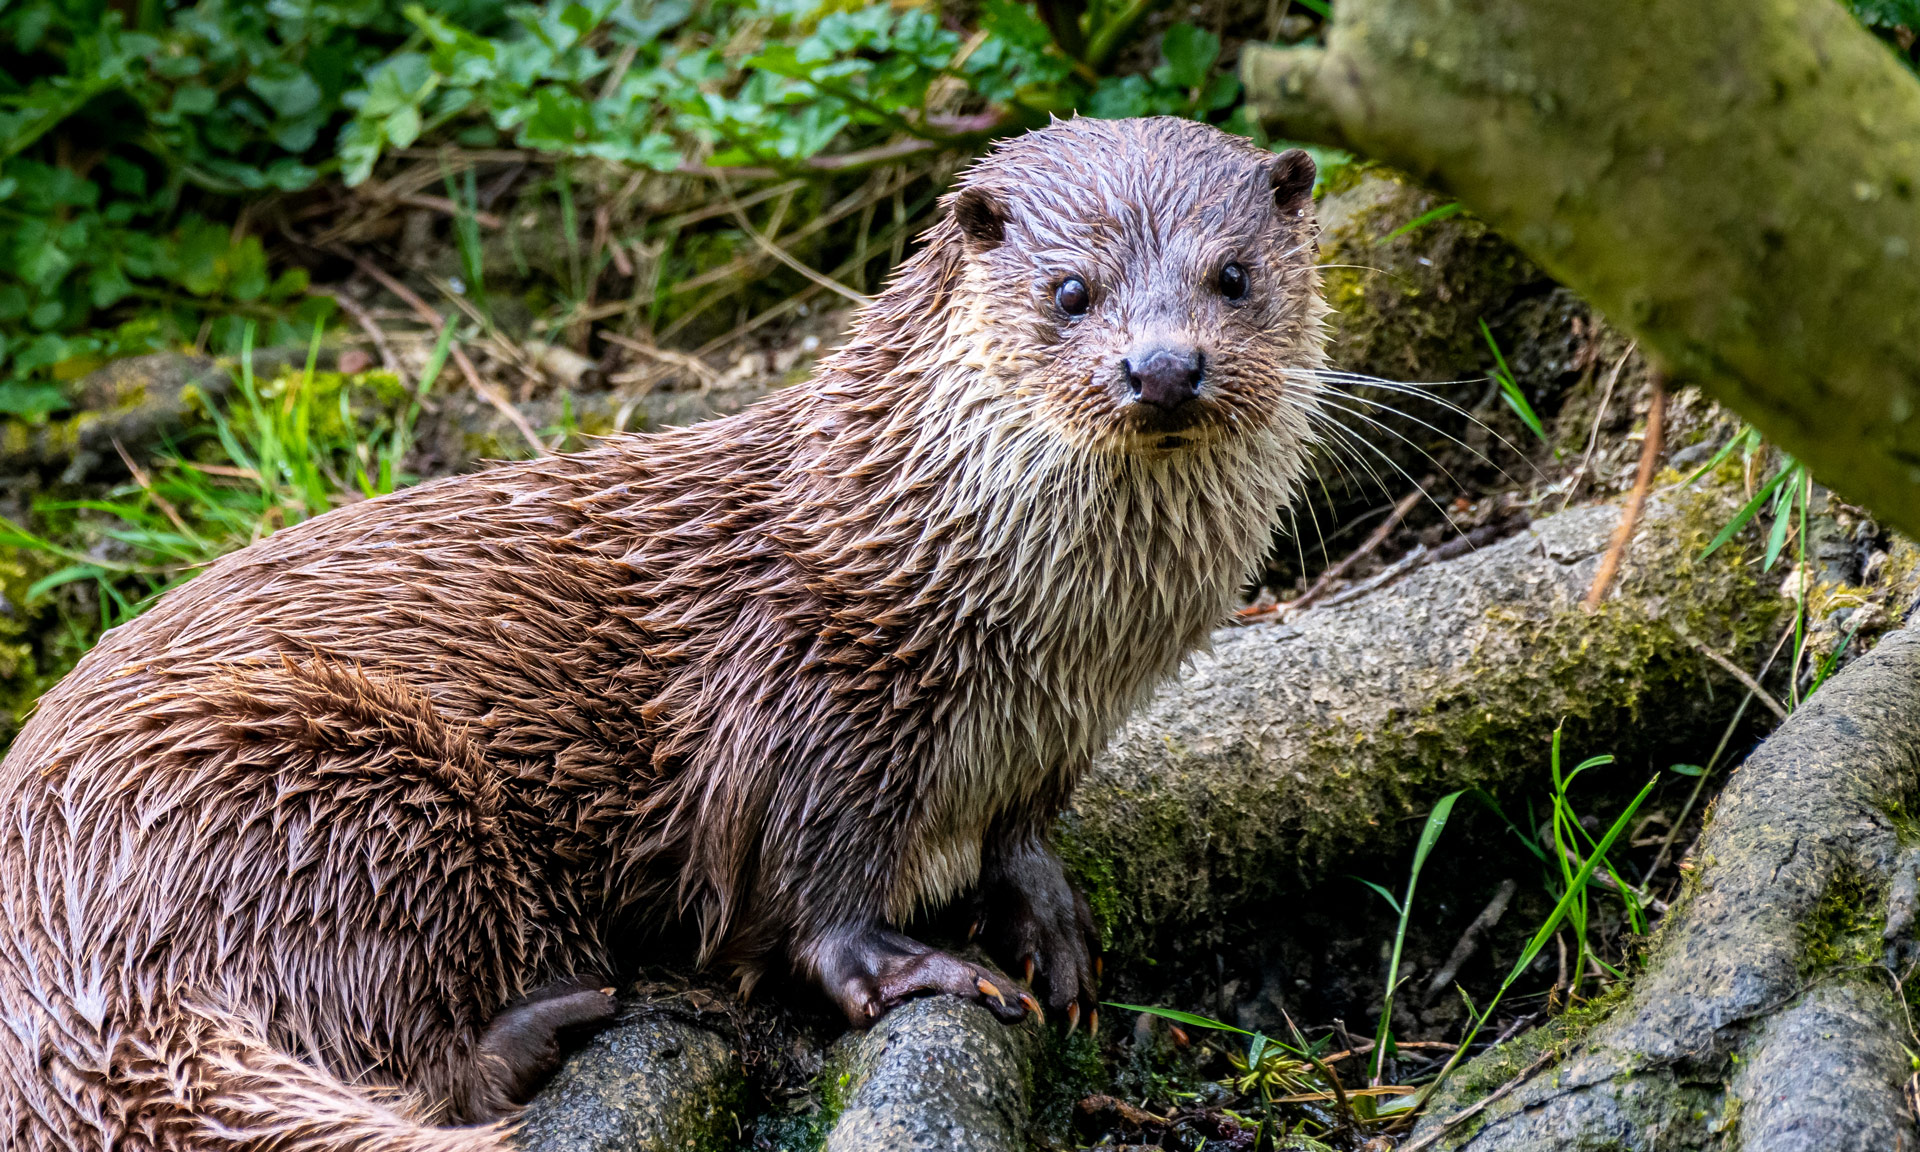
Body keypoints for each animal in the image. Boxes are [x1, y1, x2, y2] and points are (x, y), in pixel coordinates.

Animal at [0, 119, 1320, 1152]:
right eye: (1070, 293)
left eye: (1234, 277)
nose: (1163, 368)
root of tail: (61, 958)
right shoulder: (809, 701)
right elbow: (809, 902)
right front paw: (918, 969)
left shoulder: (1056, 733)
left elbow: (1023, 837)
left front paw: (1050, 926)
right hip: (335, 785)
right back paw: (562, 1016)